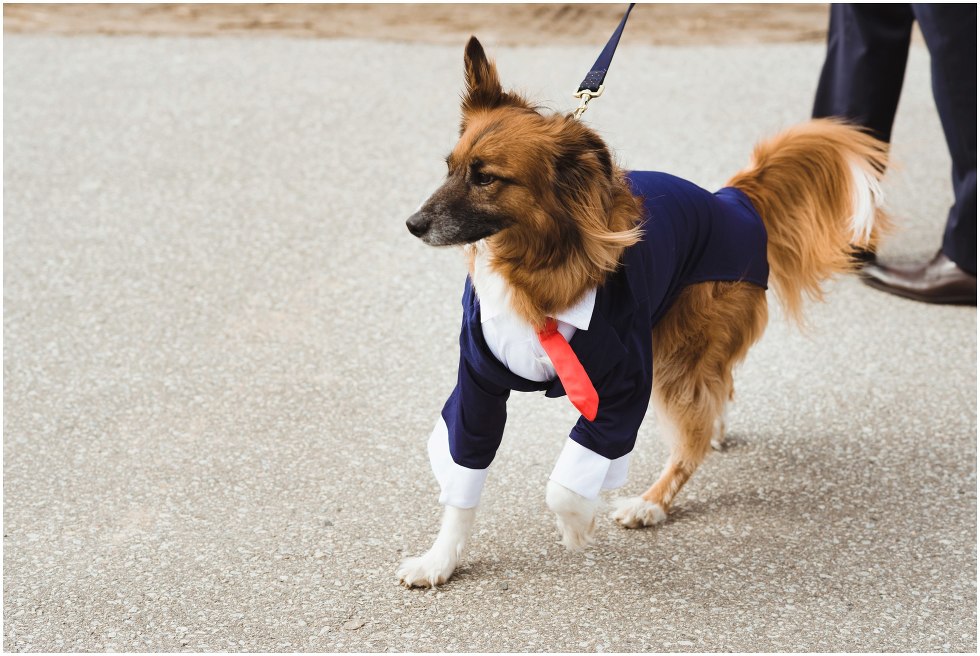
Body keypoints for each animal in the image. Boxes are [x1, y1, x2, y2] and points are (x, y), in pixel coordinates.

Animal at [396, 38, 888, 588]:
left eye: (487, 179)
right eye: (450, 167)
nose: (413, 224)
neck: (538, 266)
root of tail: (733, 201)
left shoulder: (625, 384)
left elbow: (565, 483)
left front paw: (576, 526)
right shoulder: (477, 387)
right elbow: (462, 479)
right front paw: (440, 560)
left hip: (678, 359)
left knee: (692, 437)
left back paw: (653, 502)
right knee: (718, 394)